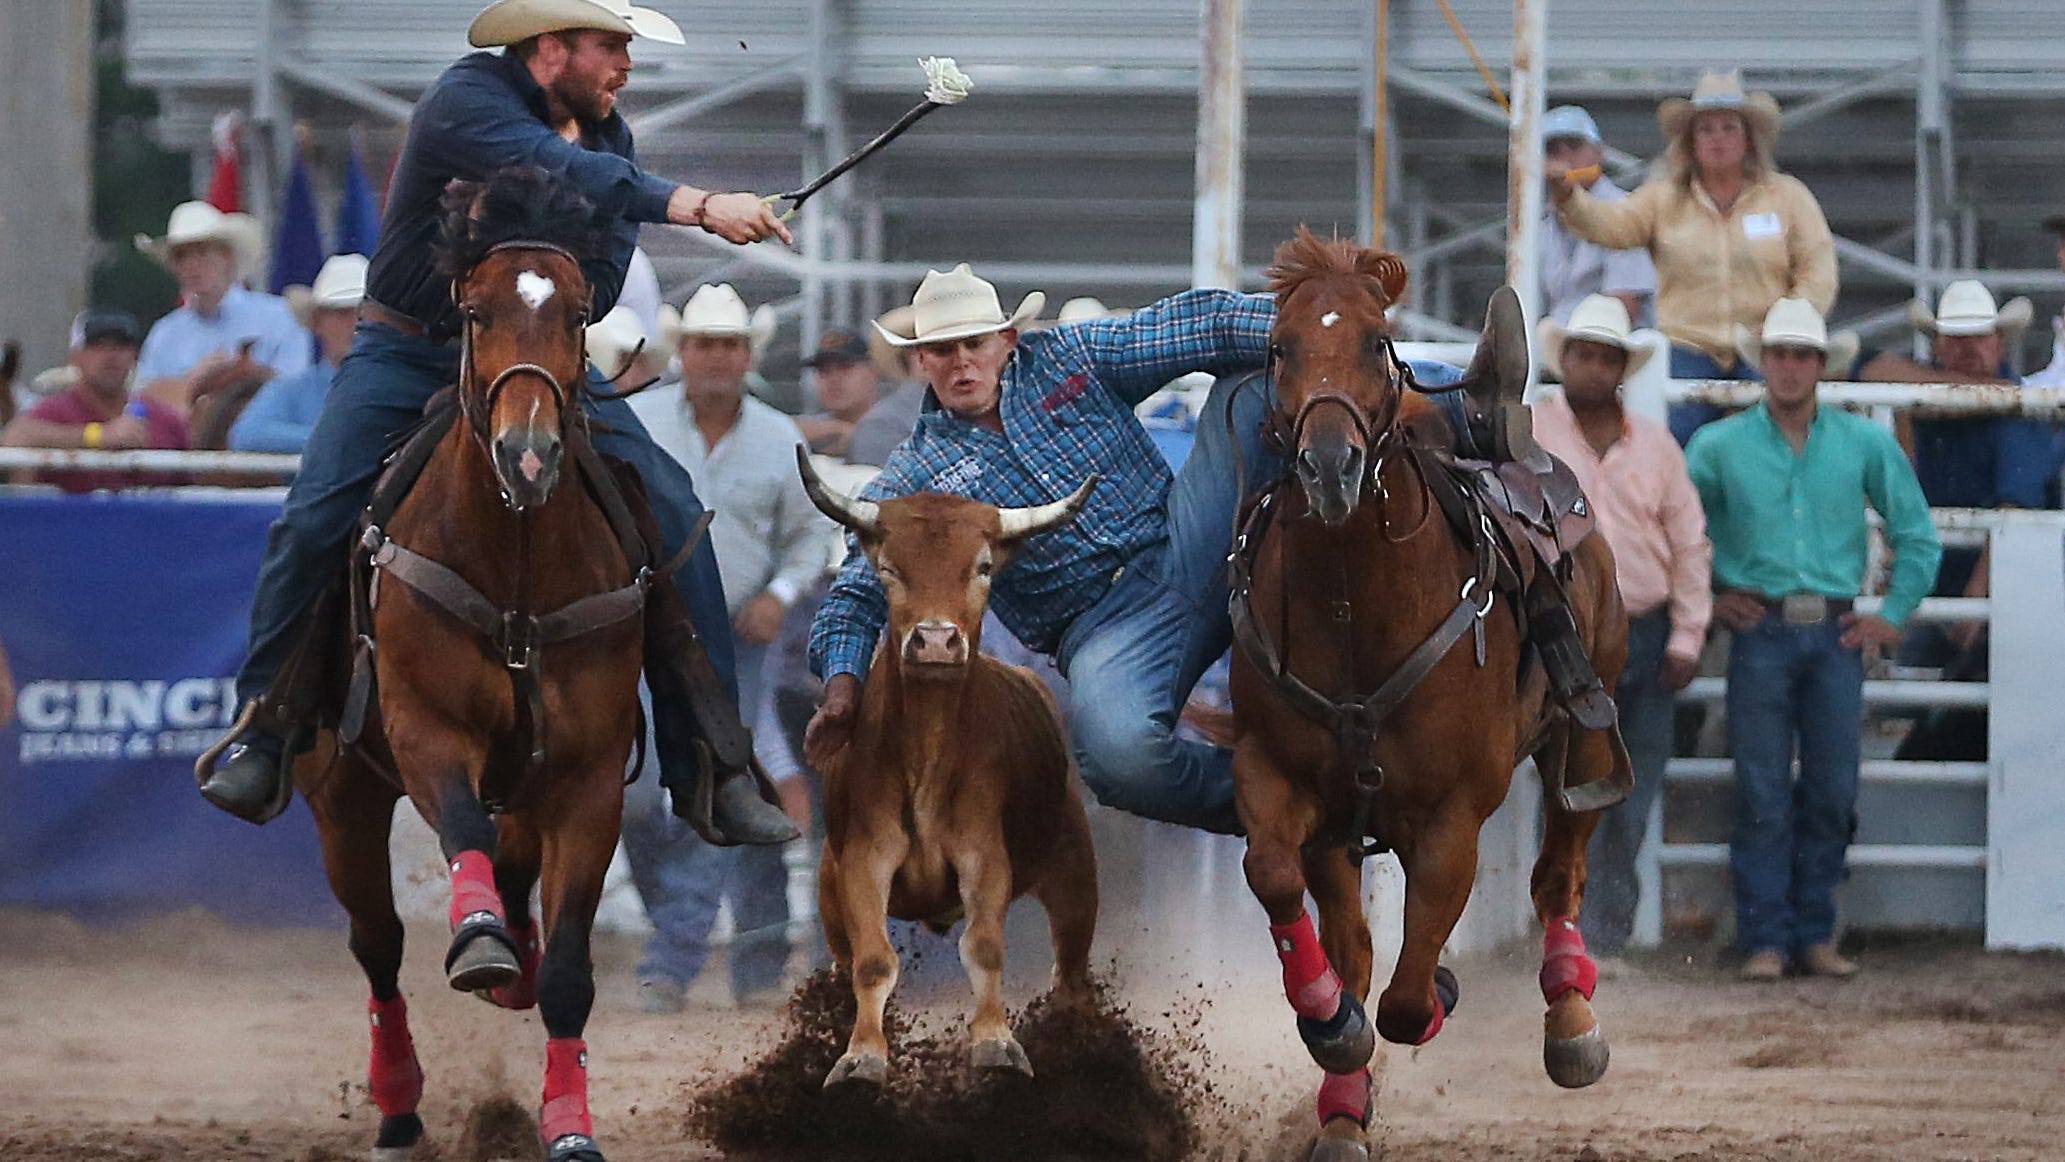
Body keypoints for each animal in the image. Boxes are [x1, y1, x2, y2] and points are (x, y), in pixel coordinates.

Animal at [291, 170, 644, 1162]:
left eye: (577, 312)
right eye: (476, 313)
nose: (527, 456)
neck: (516, 567)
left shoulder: (588, 781)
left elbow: (568, 974)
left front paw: (569, 1126)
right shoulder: (427, 732)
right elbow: (460, 832)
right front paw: (479, 936)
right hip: (341, 801)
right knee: (376, 944)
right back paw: (400, 1101)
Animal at [1222, 230, 1627, 1162]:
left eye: (1377, 341)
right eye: (1277, 348)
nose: (1328, 465)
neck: (1353, 610)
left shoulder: (1450, 820)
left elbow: (1408, 1003)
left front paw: (1436, 987)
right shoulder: (1282, 785)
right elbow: (1283, 887)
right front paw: (1333, 1034)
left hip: (1582, 737)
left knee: (1559, 874)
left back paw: (1572, 1024)